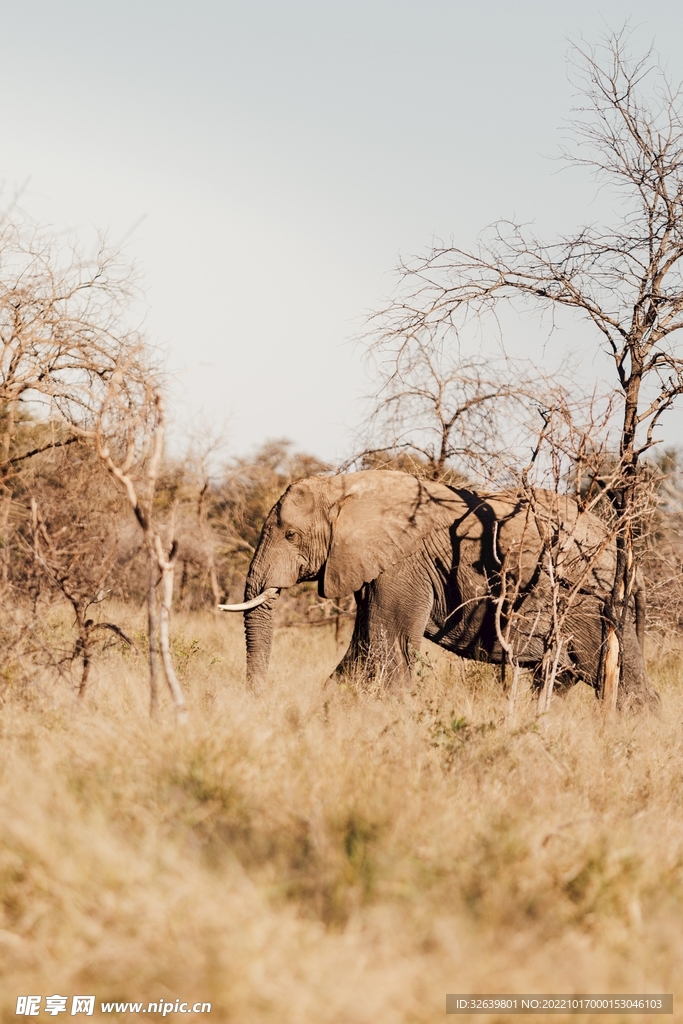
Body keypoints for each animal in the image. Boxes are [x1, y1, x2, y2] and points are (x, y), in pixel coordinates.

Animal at [219, 470, 655, 710]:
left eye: (291, 535)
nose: (257, 699)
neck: (343, 486)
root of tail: (626, 554)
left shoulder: (402, 565)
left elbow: (388, 645)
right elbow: (364, 646)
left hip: (590, 604)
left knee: (617, 679)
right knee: (562, 675)